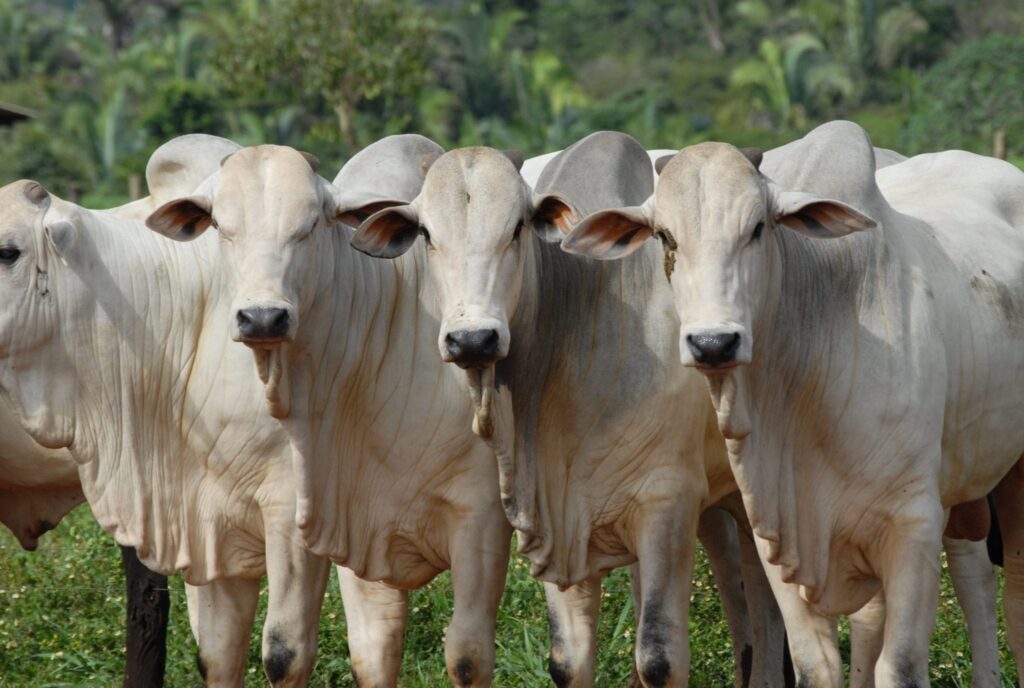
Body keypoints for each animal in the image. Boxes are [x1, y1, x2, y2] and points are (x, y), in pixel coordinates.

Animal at [144, 136, 512, 688]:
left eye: (309, 225)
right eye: (223, 228)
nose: (262, 318)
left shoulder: (482, 518)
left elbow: (467, 656)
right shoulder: (334, 519)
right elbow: (364, 651)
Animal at [348, 133, 786, 688]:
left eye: (517, 227)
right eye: (426, 233)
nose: (473, 339)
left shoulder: (667, 503)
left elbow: (659, 657)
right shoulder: (554, 516)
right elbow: (568, 660)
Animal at [565, 120, 1024, 683]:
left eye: (758, 228)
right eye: (665, 237)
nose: (713, 343)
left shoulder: (914, 527)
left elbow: (899, 668)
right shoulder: (781, 538)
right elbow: (815, 666)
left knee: (1003, 598)